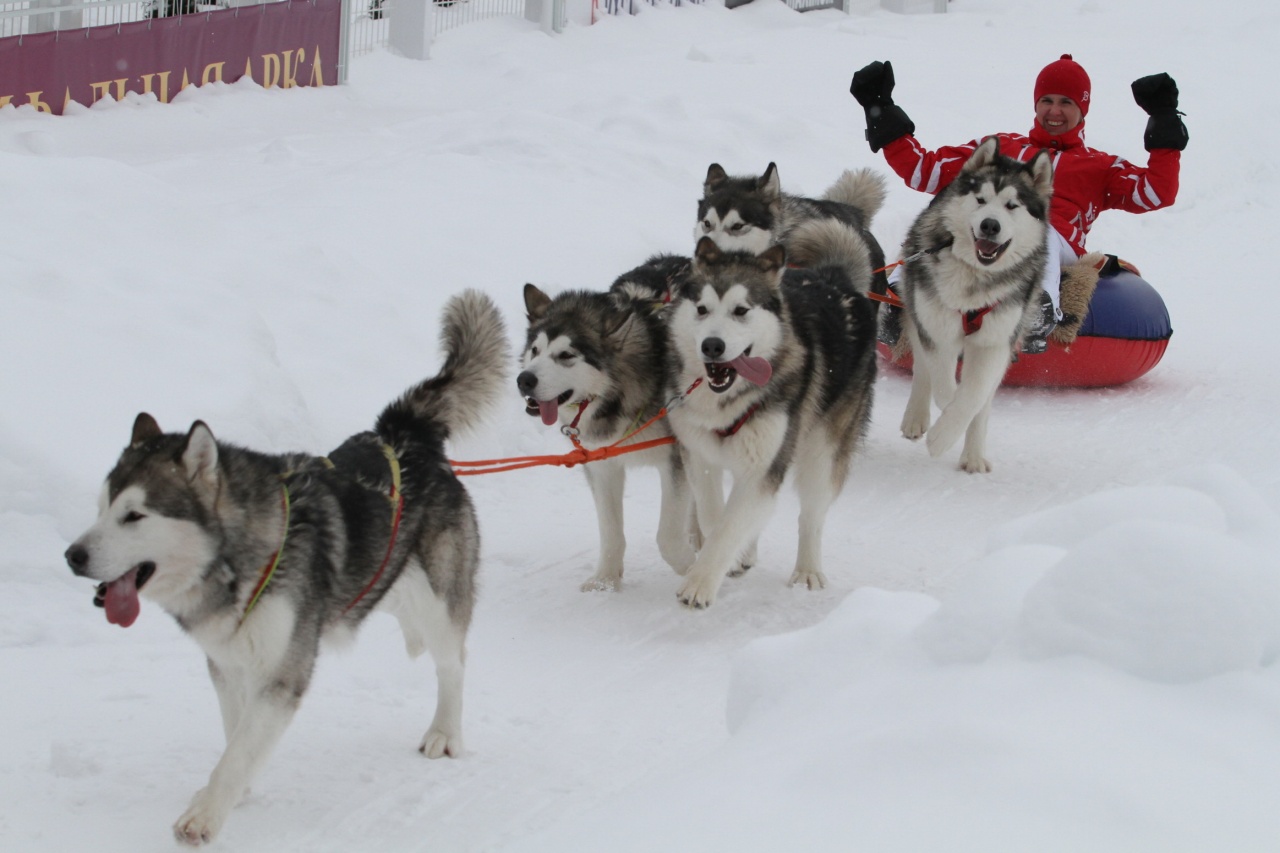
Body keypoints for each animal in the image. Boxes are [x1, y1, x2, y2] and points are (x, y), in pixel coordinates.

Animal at [61, 289, 509, 840]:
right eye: (102, 507)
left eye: (134, 515)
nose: (73, 556)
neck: (238, 561)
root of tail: (404, 436)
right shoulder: (227, 665)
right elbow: (236, 736)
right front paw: (235, 791)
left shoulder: (281, 675)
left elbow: (238, 751)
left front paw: (205, 813)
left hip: (440, 601)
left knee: (452, 662)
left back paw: (445, 731)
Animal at [519, 252, 701, 591]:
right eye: (535, 351)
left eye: (566, 355)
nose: (524, 380)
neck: (614, 396)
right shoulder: (602, 464)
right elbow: (611, 531)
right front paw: (605, 580)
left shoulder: (674, 459)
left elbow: (667, 537)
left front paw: (690, 568)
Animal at [660, 216, 880, 607]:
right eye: (701, 309)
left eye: (741, 310)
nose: (712, 345)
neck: (726, 403)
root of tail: (836, 278)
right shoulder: (700, 456)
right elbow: (715, 517)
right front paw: (728, 556)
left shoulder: (763, 468)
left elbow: (730, 526)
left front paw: (699, 583)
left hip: (823, 451)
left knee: (812, 515)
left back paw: (807, 570)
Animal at [896, 137, 1054, 473]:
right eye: (980, 200)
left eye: (1012, 205)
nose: (990, 226)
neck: (974, 279)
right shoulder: (937, 330)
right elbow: (945, 387)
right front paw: (942, 429)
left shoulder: (994, 343)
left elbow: (974, 396)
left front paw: (945, 436)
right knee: (922, 367)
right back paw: (917, 417)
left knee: (984, 399)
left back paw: (973, 456)